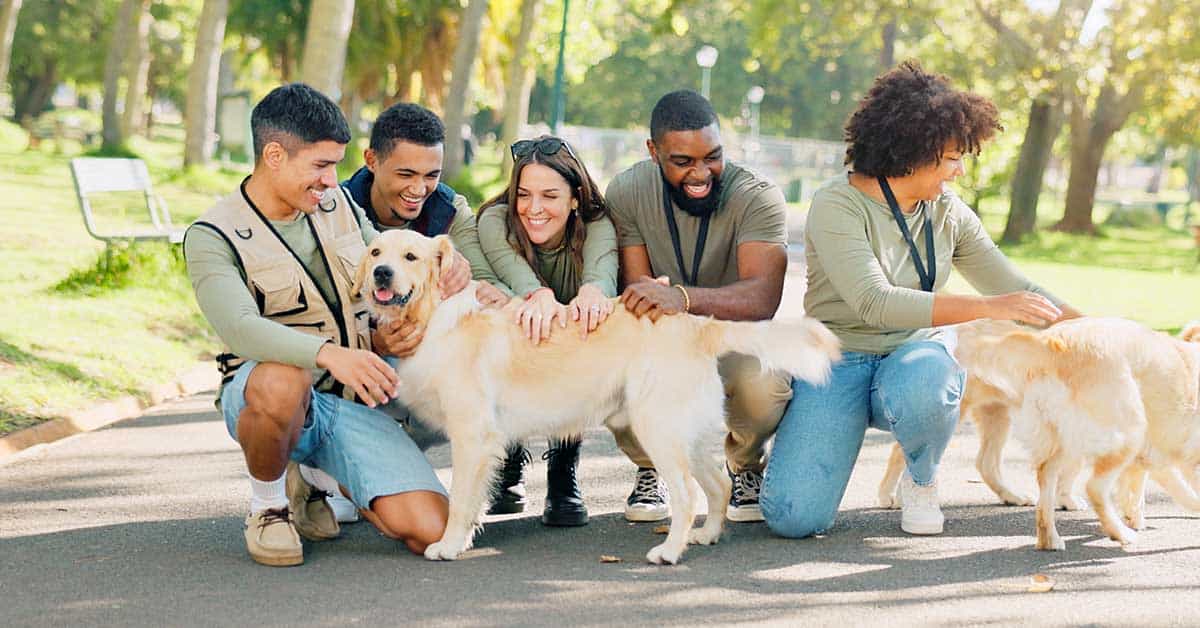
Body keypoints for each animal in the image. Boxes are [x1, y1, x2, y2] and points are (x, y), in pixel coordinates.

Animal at [355, 230, 840, 564]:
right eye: (376, 253)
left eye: (411, 257)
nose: (381, 273)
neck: (435, 317)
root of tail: (694, 323)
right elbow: (472, 501)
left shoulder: (472, 437)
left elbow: (458, 500)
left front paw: (449, 544)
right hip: (689, 433)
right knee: (718, 485)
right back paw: (705, 536)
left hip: (657, 427)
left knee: (688, 494)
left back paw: (670, 552)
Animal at [945, 319, 1200, 549]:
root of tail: (1049, 343)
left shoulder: (1152, 458)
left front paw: (1135, 516)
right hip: (1128, 430)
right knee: (1094, 487)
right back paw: (1120, 533)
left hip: (1059, 438)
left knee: (1041, 474)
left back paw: (1049, 538)